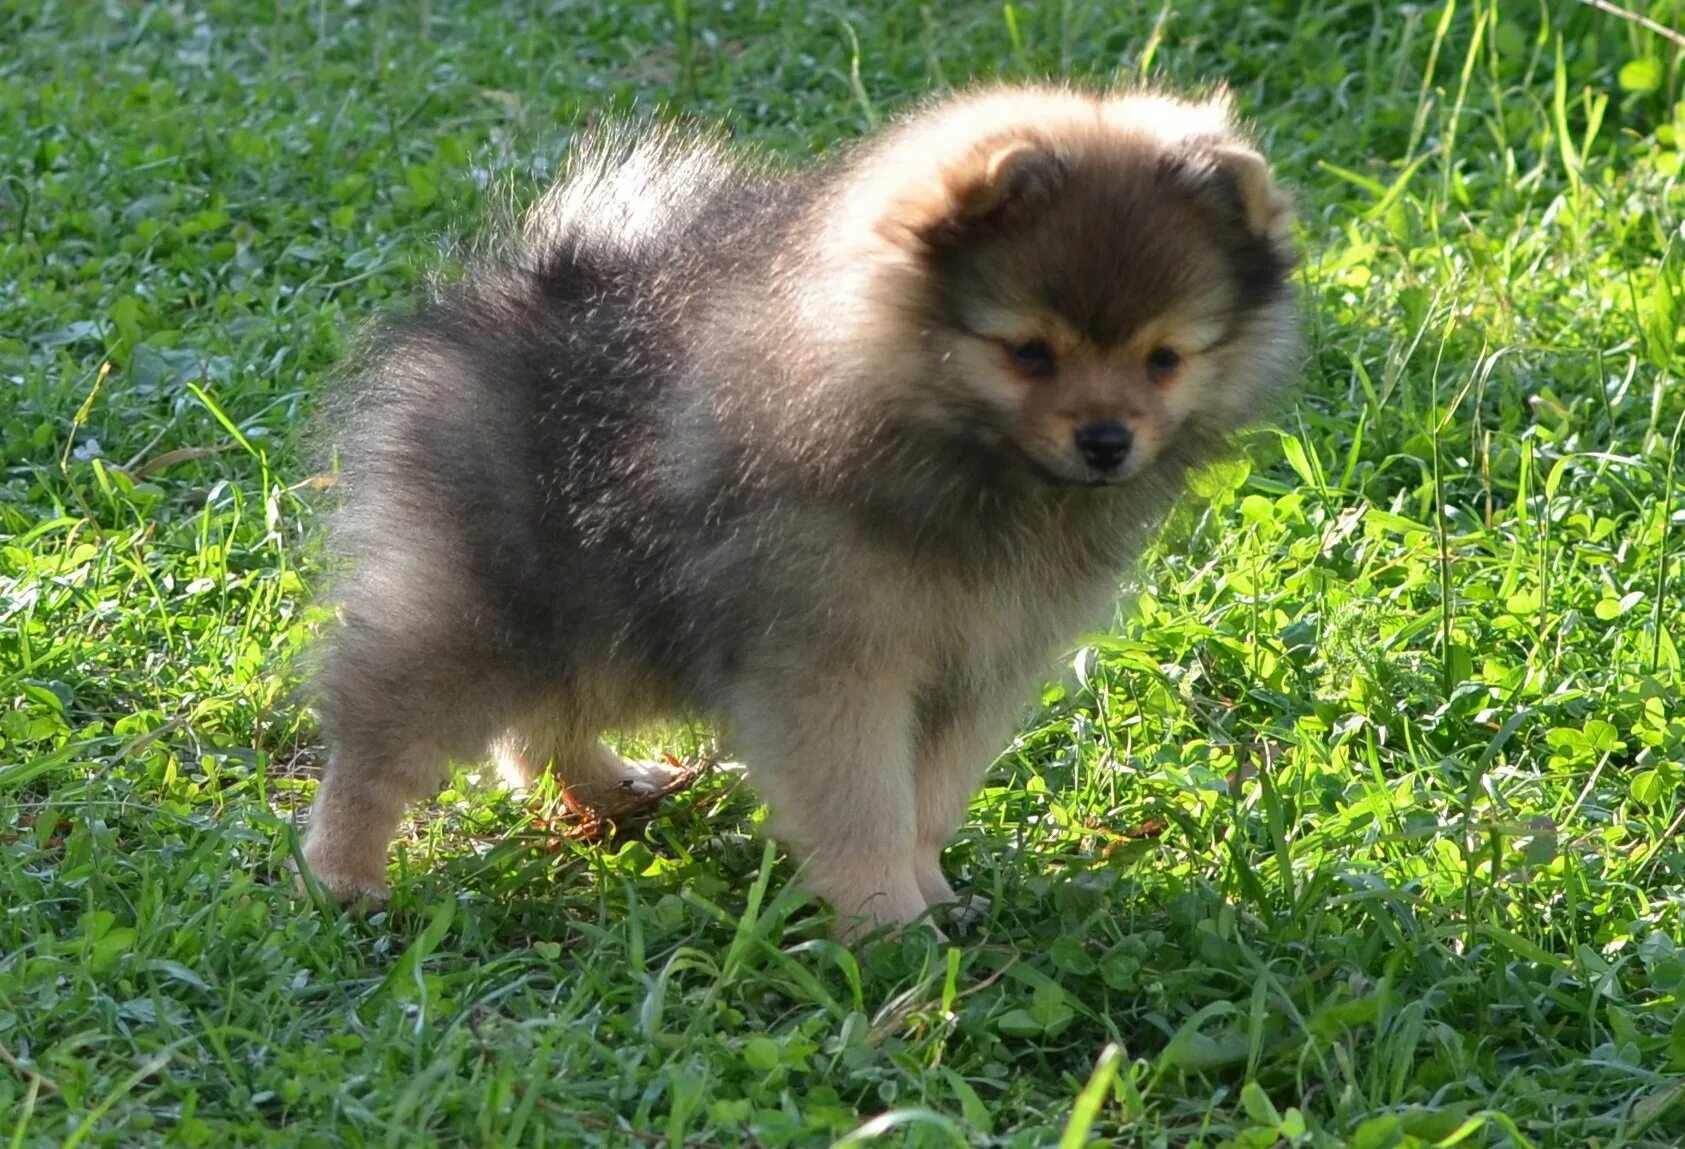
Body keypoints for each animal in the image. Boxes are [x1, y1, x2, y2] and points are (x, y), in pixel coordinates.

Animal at [299, 87, 1300, 929]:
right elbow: (862, 807)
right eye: (1029, 352)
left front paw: (935, 898)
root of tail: (514, 291)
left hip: (585, 612)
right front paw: (887, 924)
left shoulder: (981, 664)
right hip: (493, 598)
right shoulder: (833, 662)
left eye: (1163, 358)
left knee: (541, 722)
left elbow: (926, 801)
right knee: (386, 720)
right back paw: (344, 870)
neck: (961, 463)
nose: (1105, 439)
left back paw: (613, 788)